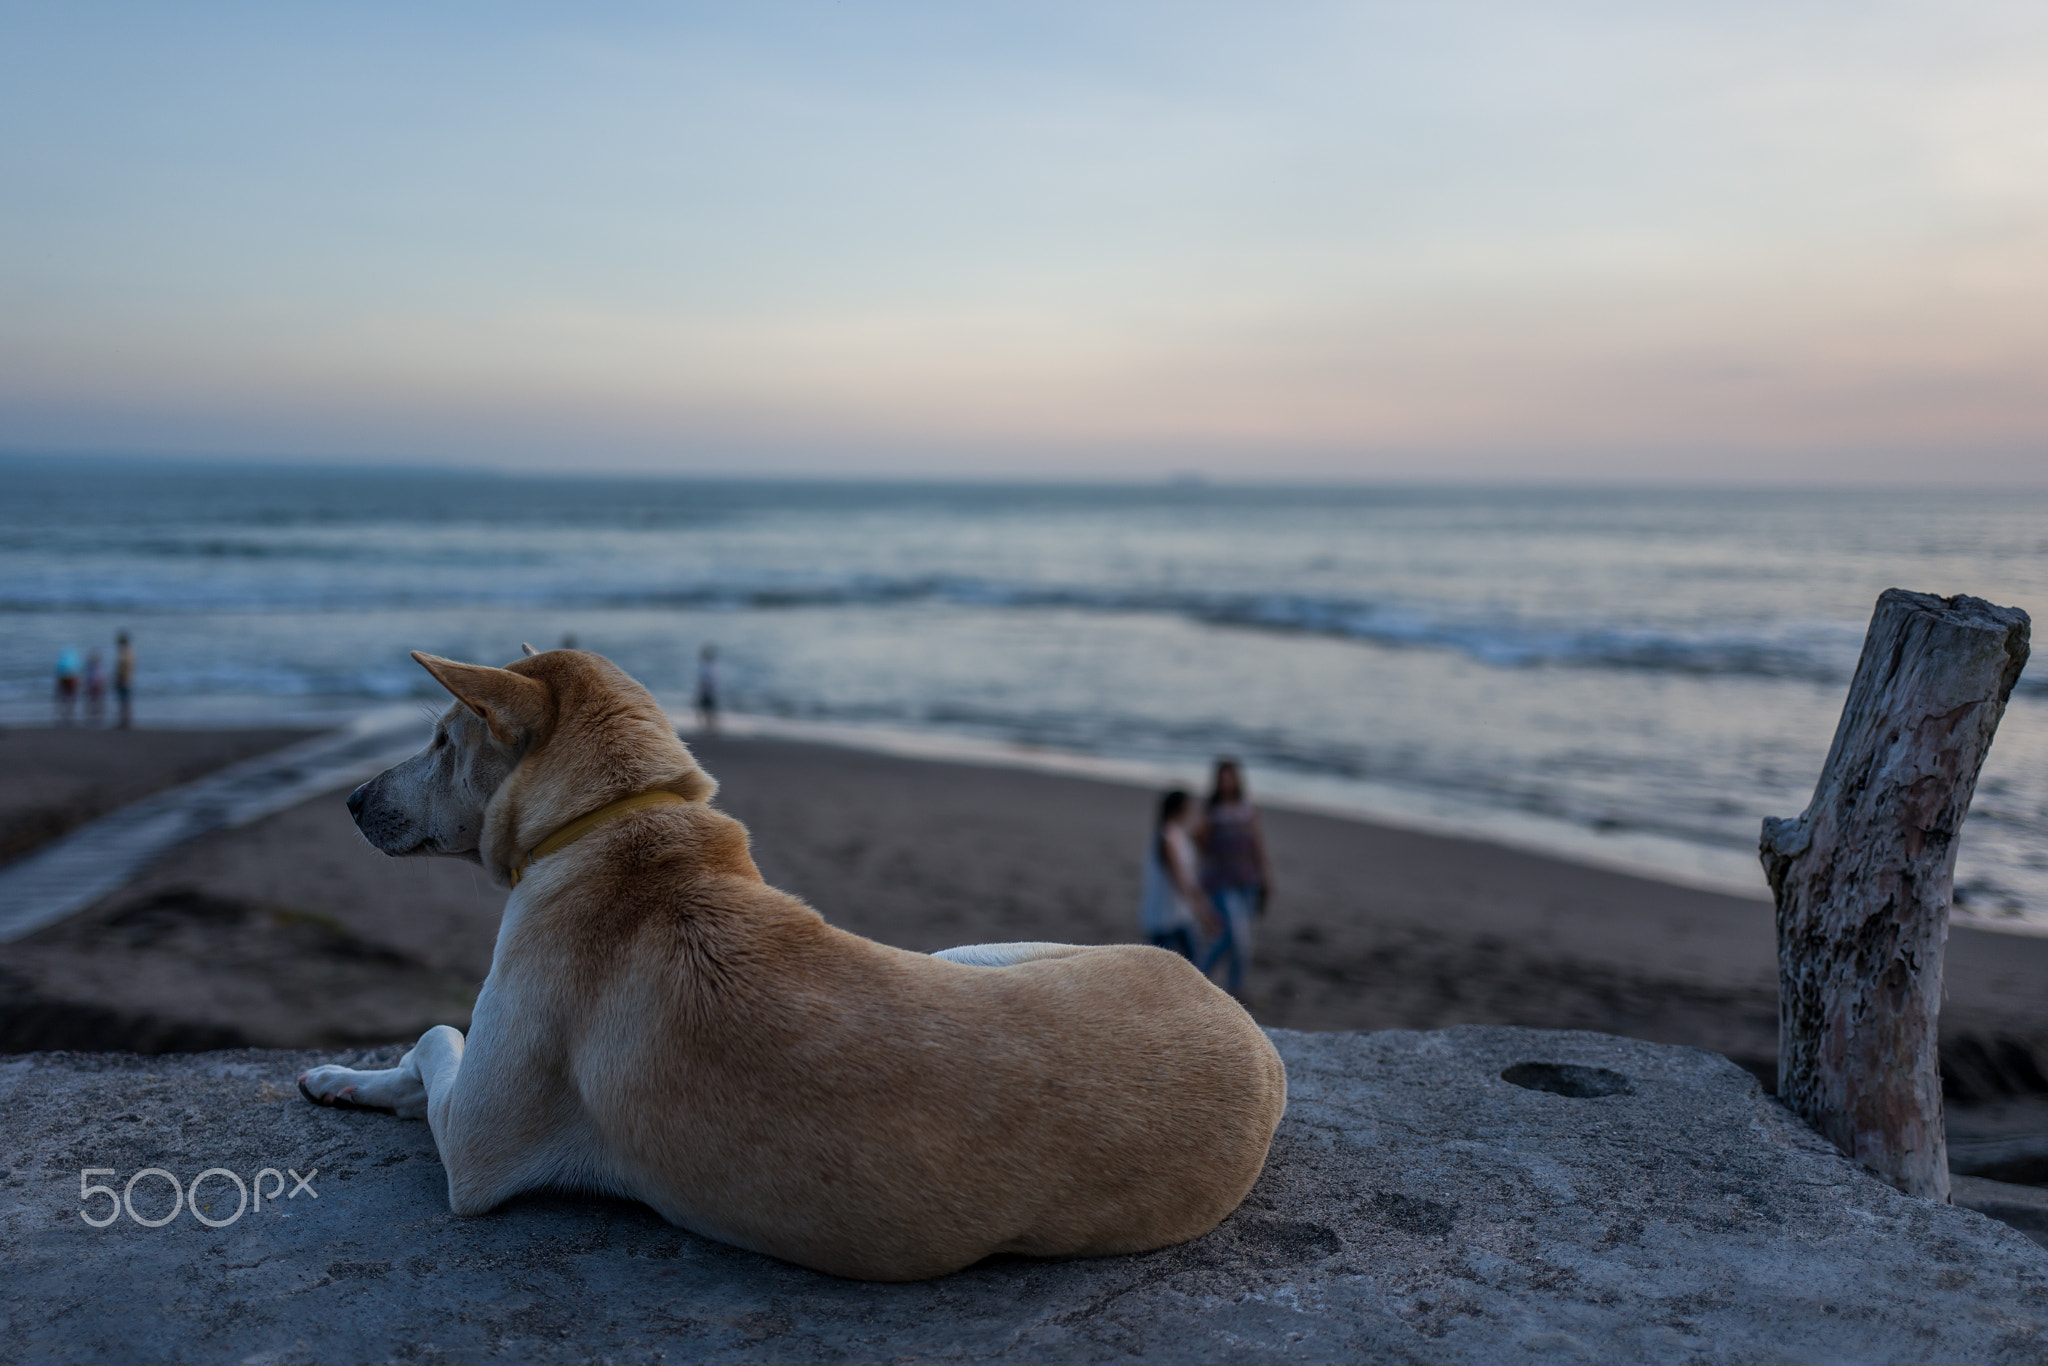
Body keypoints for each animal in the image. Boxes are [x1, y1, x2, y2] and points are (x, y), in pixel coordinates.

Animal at [296, 651, 1286, 1286]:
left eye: (440, 743)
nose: (348, 800)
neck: (621, 825)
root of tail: (1263, 1047)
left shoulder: (475, 1147)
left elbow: (433, 1039)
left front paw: (346, 1078)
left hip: (966, 956)